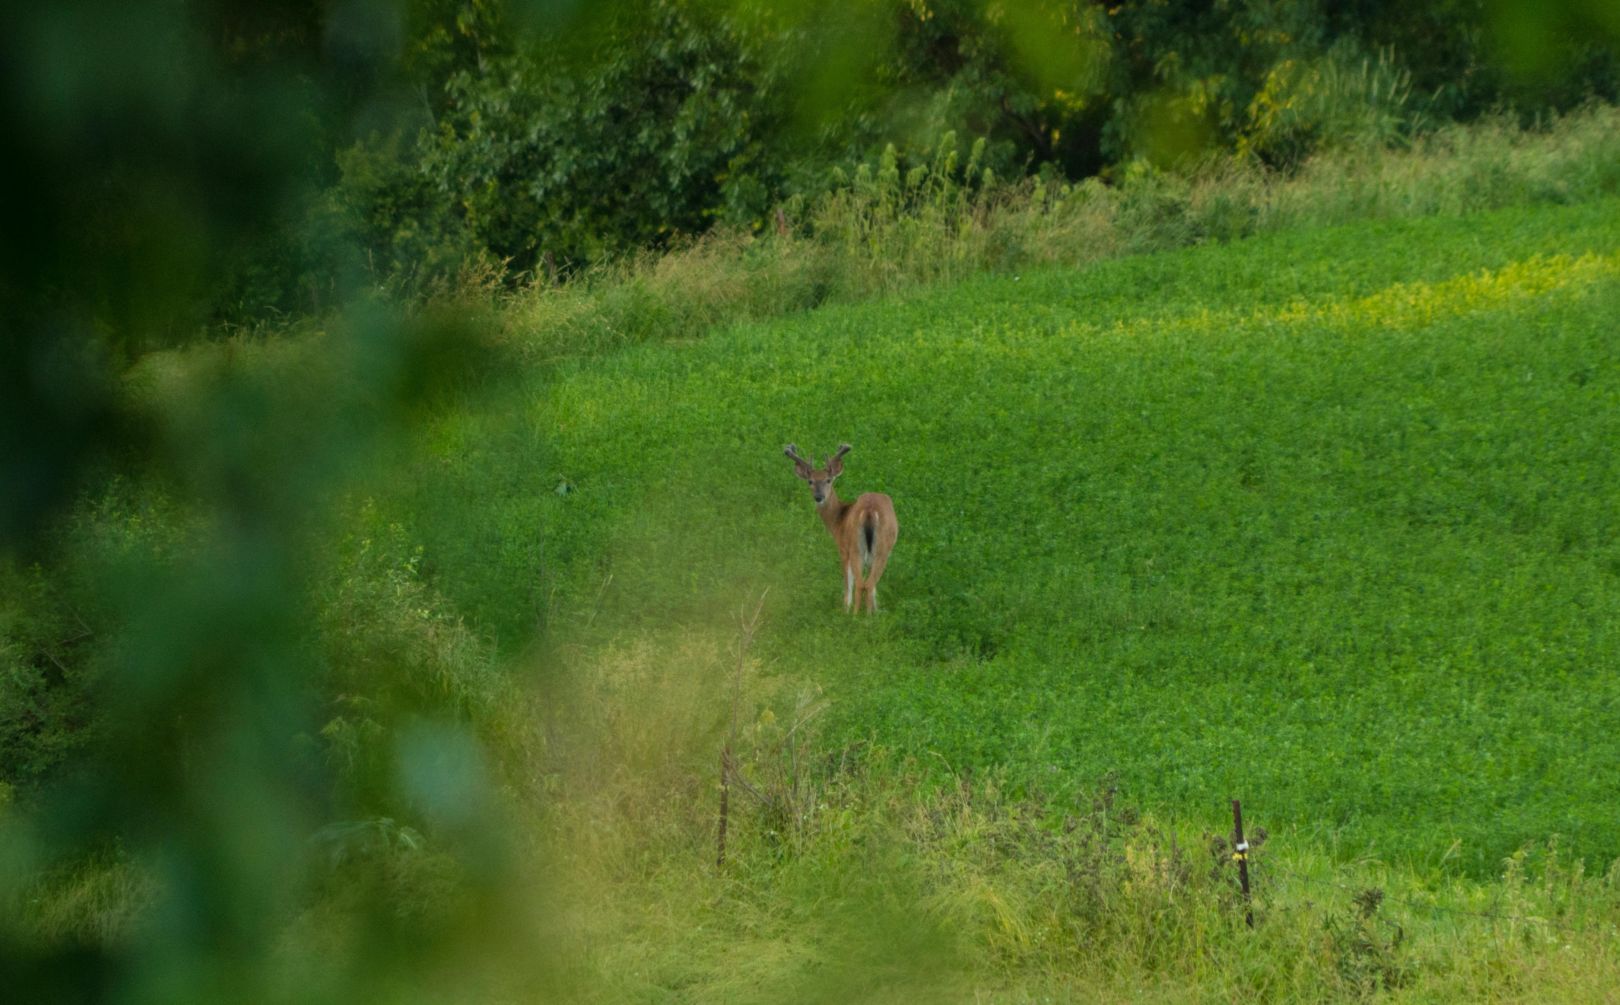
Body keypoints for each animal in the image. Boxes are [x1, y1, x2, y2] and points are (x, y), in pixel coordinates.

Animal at [784, 444, 900, 615]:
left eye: (828, 480)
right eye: (810, 481)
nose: (819, 497)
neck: (839, 519)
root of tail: (870, 511)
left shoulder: (843, 548)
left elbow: (847, 583)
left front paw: (846, 609)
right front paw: (875, 610)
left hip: (857, 547)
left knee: (861, 583)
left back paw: (854, 616)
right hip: (880, 548)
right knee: (869, 583)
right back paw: (868, 616)